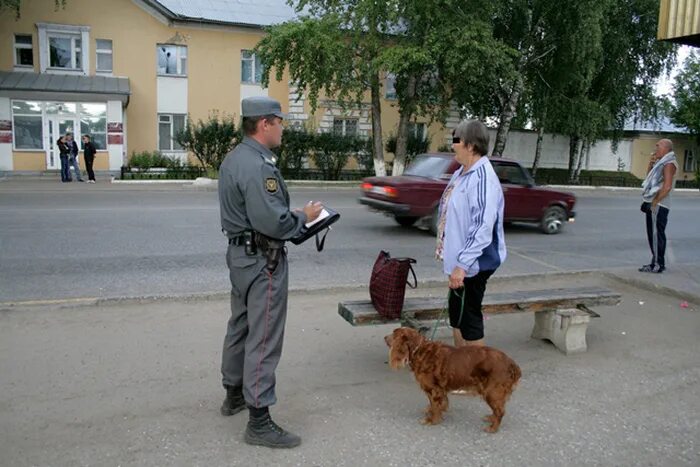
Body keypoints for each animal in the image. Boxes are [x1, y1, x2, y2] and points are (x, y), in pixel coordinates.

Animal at [386, 328, 524, 434]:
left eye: (393, 334)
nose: (384, 337)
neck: (419, 350)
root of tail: (511, 363)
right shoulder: (438, 389)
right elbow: (436, 403)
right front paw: (435, 411)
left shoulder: (434, 388)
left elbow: (434, 405)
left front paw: (432, 420)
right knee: (498, 410)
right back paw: (491, 418)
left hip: (492, 392)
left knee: (500, 411)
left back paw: (492, 428)